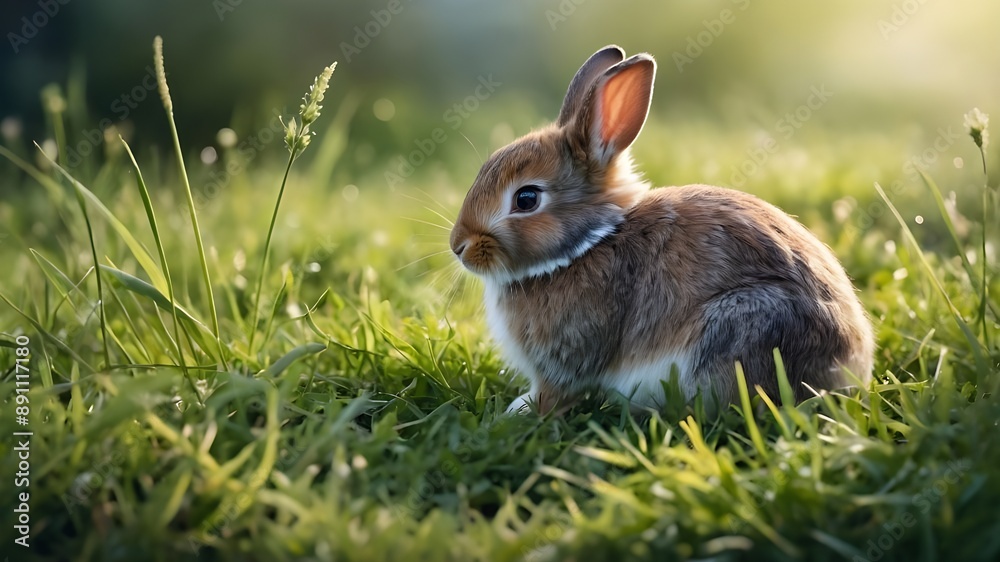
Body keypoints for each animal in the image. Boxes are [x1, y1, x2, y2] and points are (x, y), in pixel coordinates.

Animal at [449, 45, 874, 415]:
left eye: (526, 199)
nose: (458, 246)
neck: (585, 246)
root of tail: (848, 367)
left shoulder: (568, 358)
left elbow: (555, 392)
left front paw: (518, 412)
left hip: (743, 321)